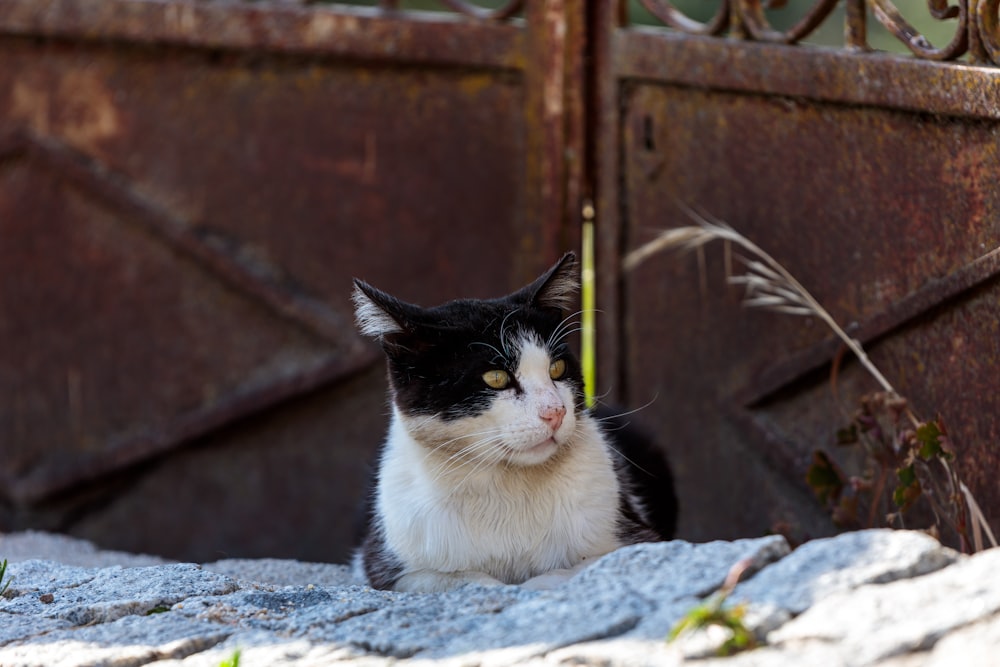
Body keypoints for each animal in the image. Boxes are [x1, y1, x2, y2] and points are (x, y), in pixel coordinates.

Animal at [350, 253, 672, 592]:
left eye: (557, 369)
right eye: (496, 378)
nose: (556, 411)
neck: (506, 486)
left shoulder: (639, 540)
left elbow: (566, 572)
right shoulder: (383, 565)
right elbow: (462, 580)